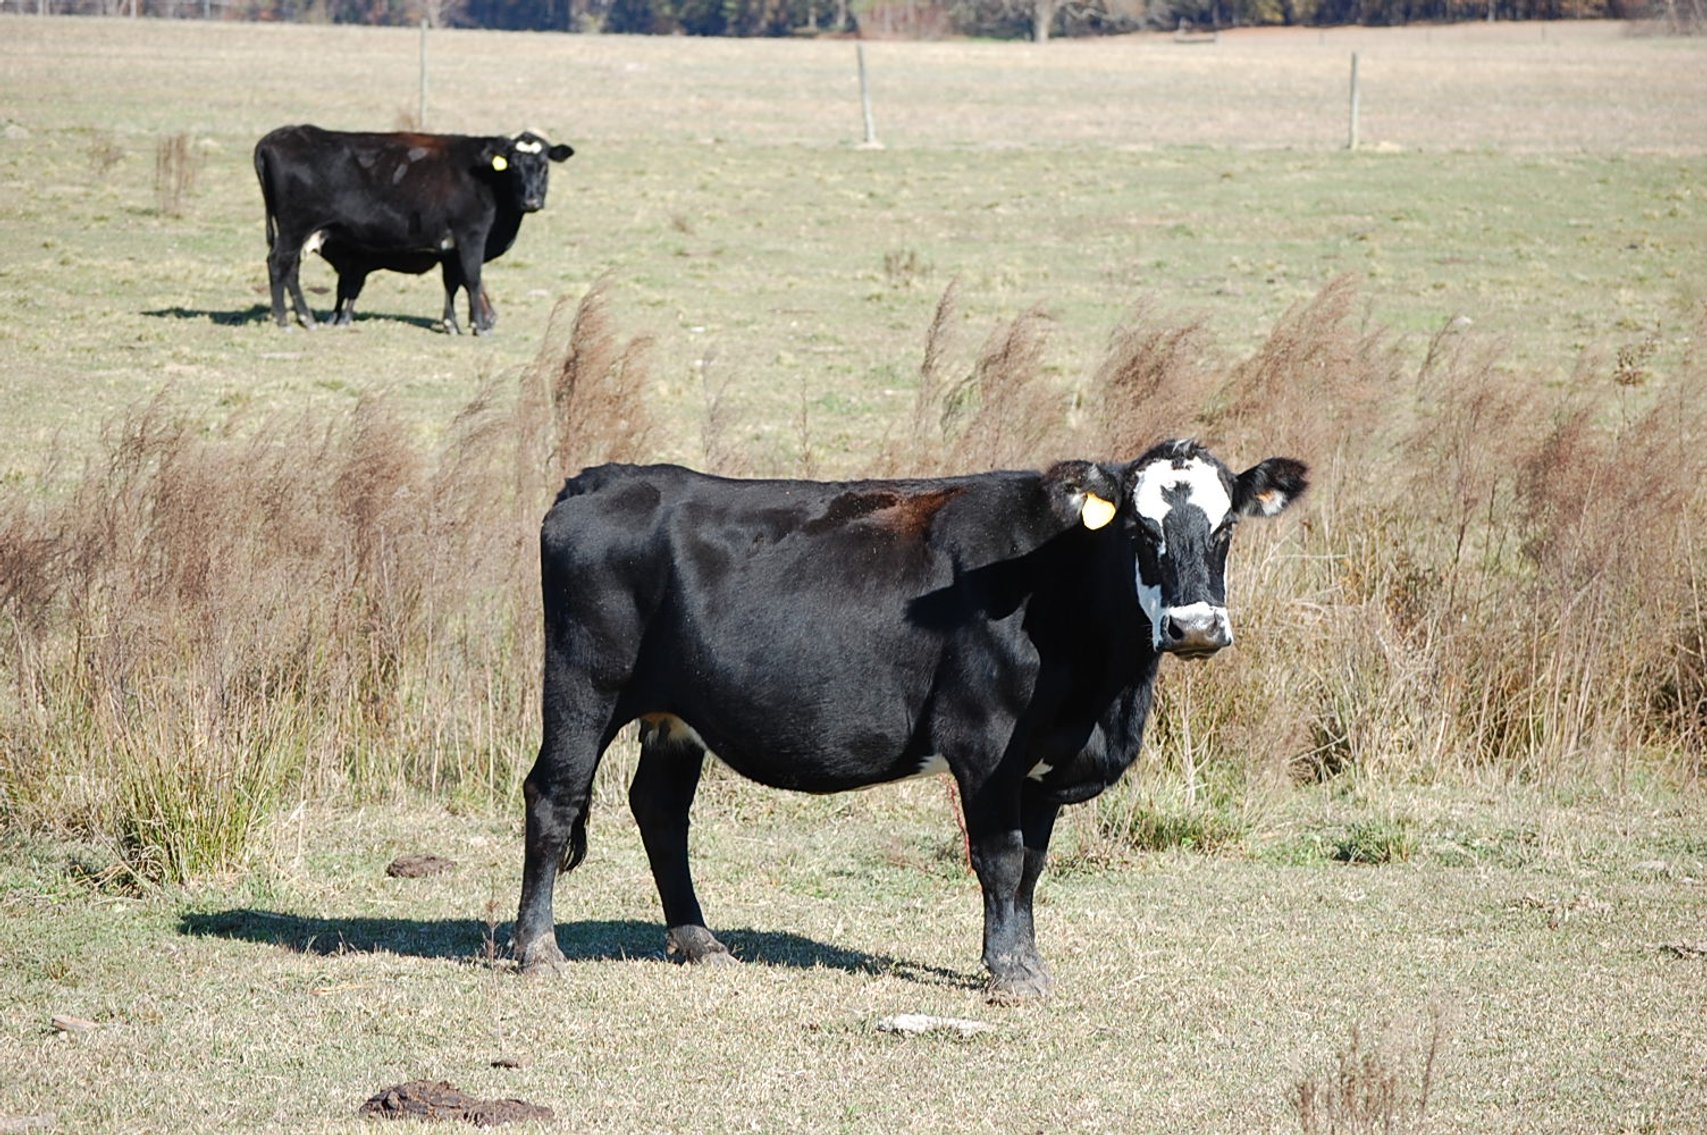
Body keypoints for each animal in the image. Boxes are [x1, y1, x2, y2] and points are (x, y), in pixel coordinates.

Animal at [253, 125, 573, 334]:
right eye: (514, 166)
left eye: (544, 165)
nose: (531, 200)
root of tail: (275, 137)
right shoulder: (471, 237)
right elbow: (472, 278)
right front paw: (480, 325)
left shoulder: (451, 248)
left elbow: (452, 282)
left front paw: (453, 323)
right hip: (295, 228)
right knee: (279, 263)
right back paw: (284, 319)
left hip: (299, 232)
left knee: (291, 268)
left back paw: (305, 317)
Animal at [514, 439, 1308, 1000]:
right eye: (1141, 530)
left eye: (1225, 527)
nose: (1194, 626)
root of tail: (606, 477)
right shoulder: (986, 743)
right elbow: (1000, 856)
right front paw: (1007, 973)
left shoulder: (1046, 760)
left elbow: (1032, 865)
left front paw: (1026, 960)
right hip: (585, 684)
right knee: (554, 797)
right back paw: (537, 949)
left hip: (675, 716)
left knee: (659, 808)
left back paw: (699, 941)